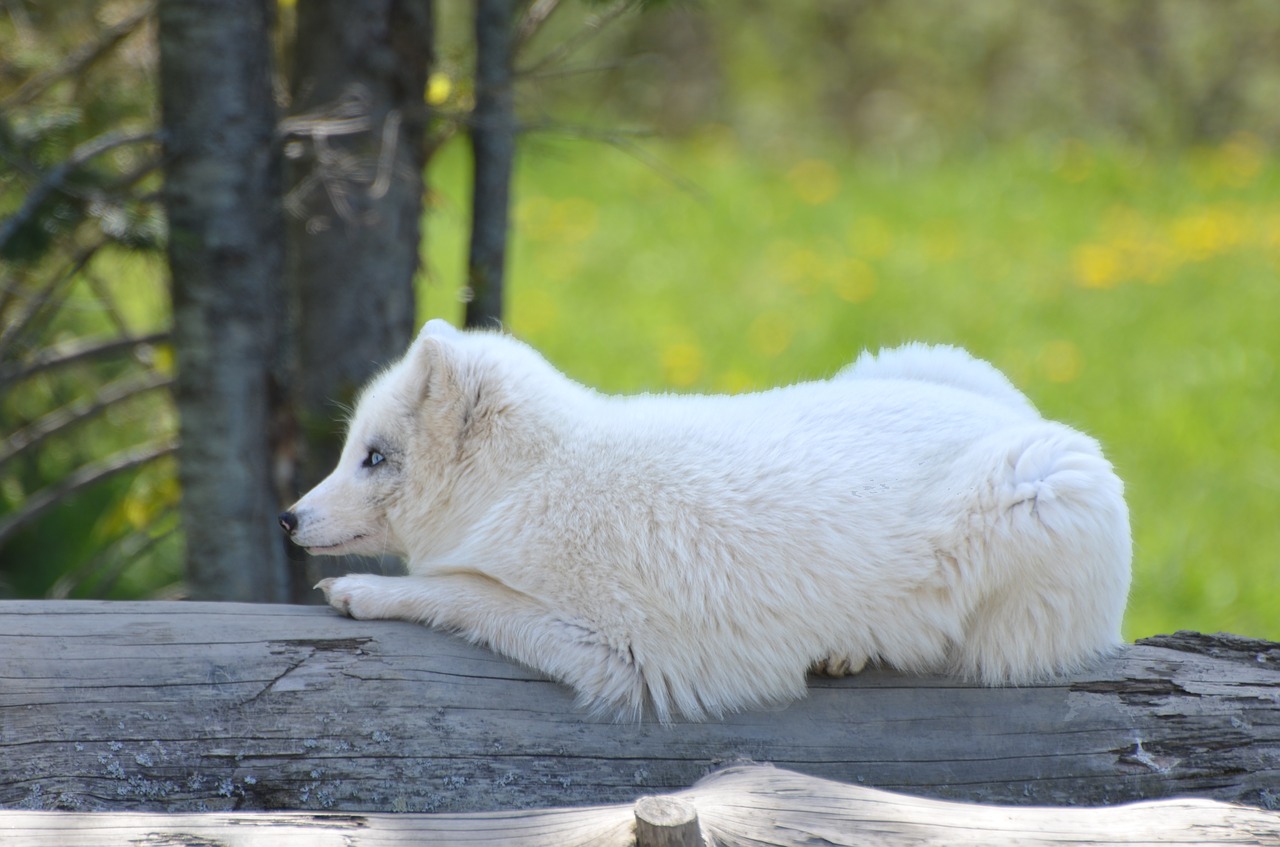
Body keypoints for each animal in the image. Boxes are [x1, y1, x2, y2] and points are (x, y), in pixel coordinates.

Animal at [277, 323, 1131, 721]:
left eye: (375, 458)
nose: (287, 517)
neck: (533, 478)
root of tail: (1024, 419)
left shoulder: (621, 654)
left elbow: (460, 590)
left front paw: (363, 592)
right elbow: (461, 583)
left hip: (1048, 493)